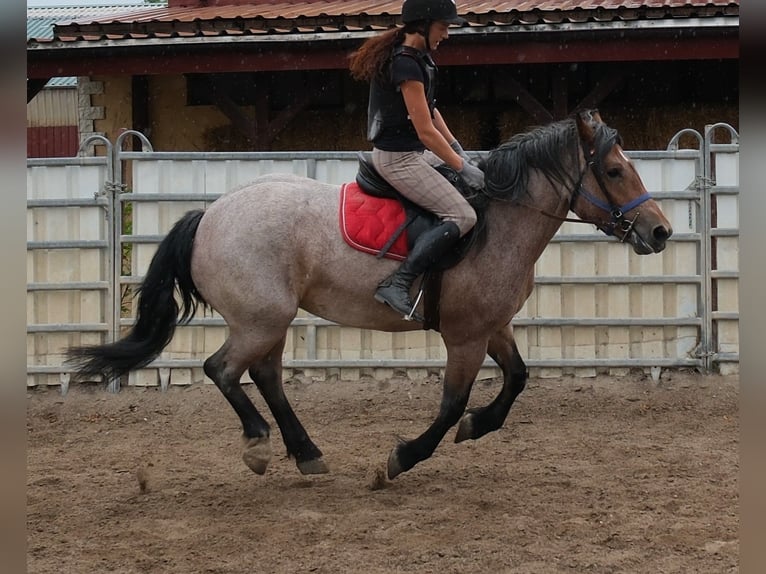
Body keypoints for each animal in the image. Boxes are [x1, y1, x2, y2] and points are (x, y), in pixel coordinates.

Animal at [67, 110, 672, 480]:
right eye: (614, 170)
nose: (661, 231)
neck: (499, 220)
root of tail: (210, 215)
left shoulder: (493, 327)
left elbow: (518, 380)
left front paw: (479, 426)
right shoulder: (466, 337)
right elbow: (452, 404)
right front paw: (404, 456)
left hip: (269, 321)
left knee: (264, 376)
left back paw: (306, 453)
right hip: (261, 319)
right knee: (223, 370)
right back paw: (261, 443)